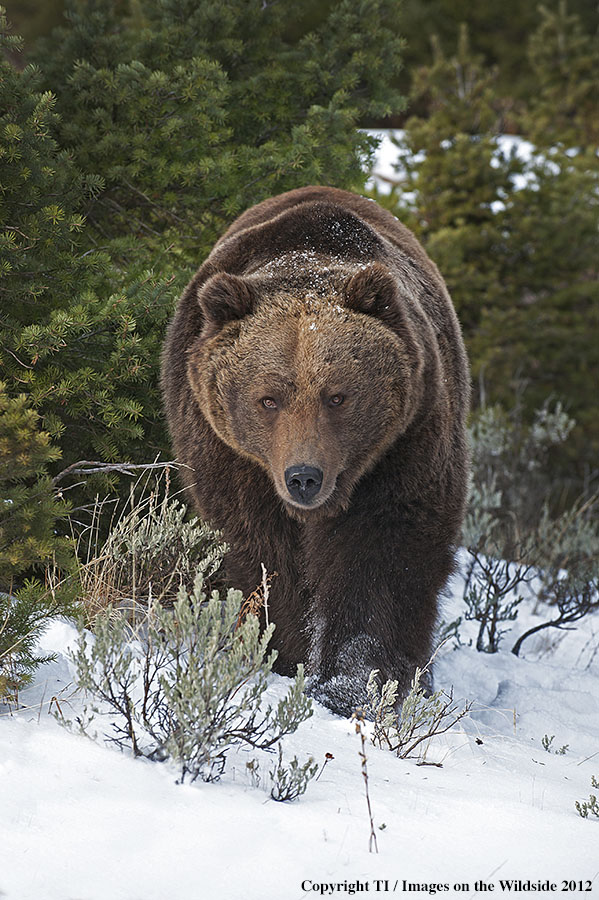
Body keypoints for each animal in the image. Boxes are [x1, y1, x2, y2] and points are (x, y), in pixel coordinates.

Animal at [162, 185, 472, 716]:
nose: (304, 476)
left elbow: (381, 556)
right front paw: (284, 656)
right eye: (268, 398)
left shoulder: (404, 446)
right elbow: (266, 558)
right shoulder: (232, 458)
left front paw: (359, 682)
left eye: (338, 396)